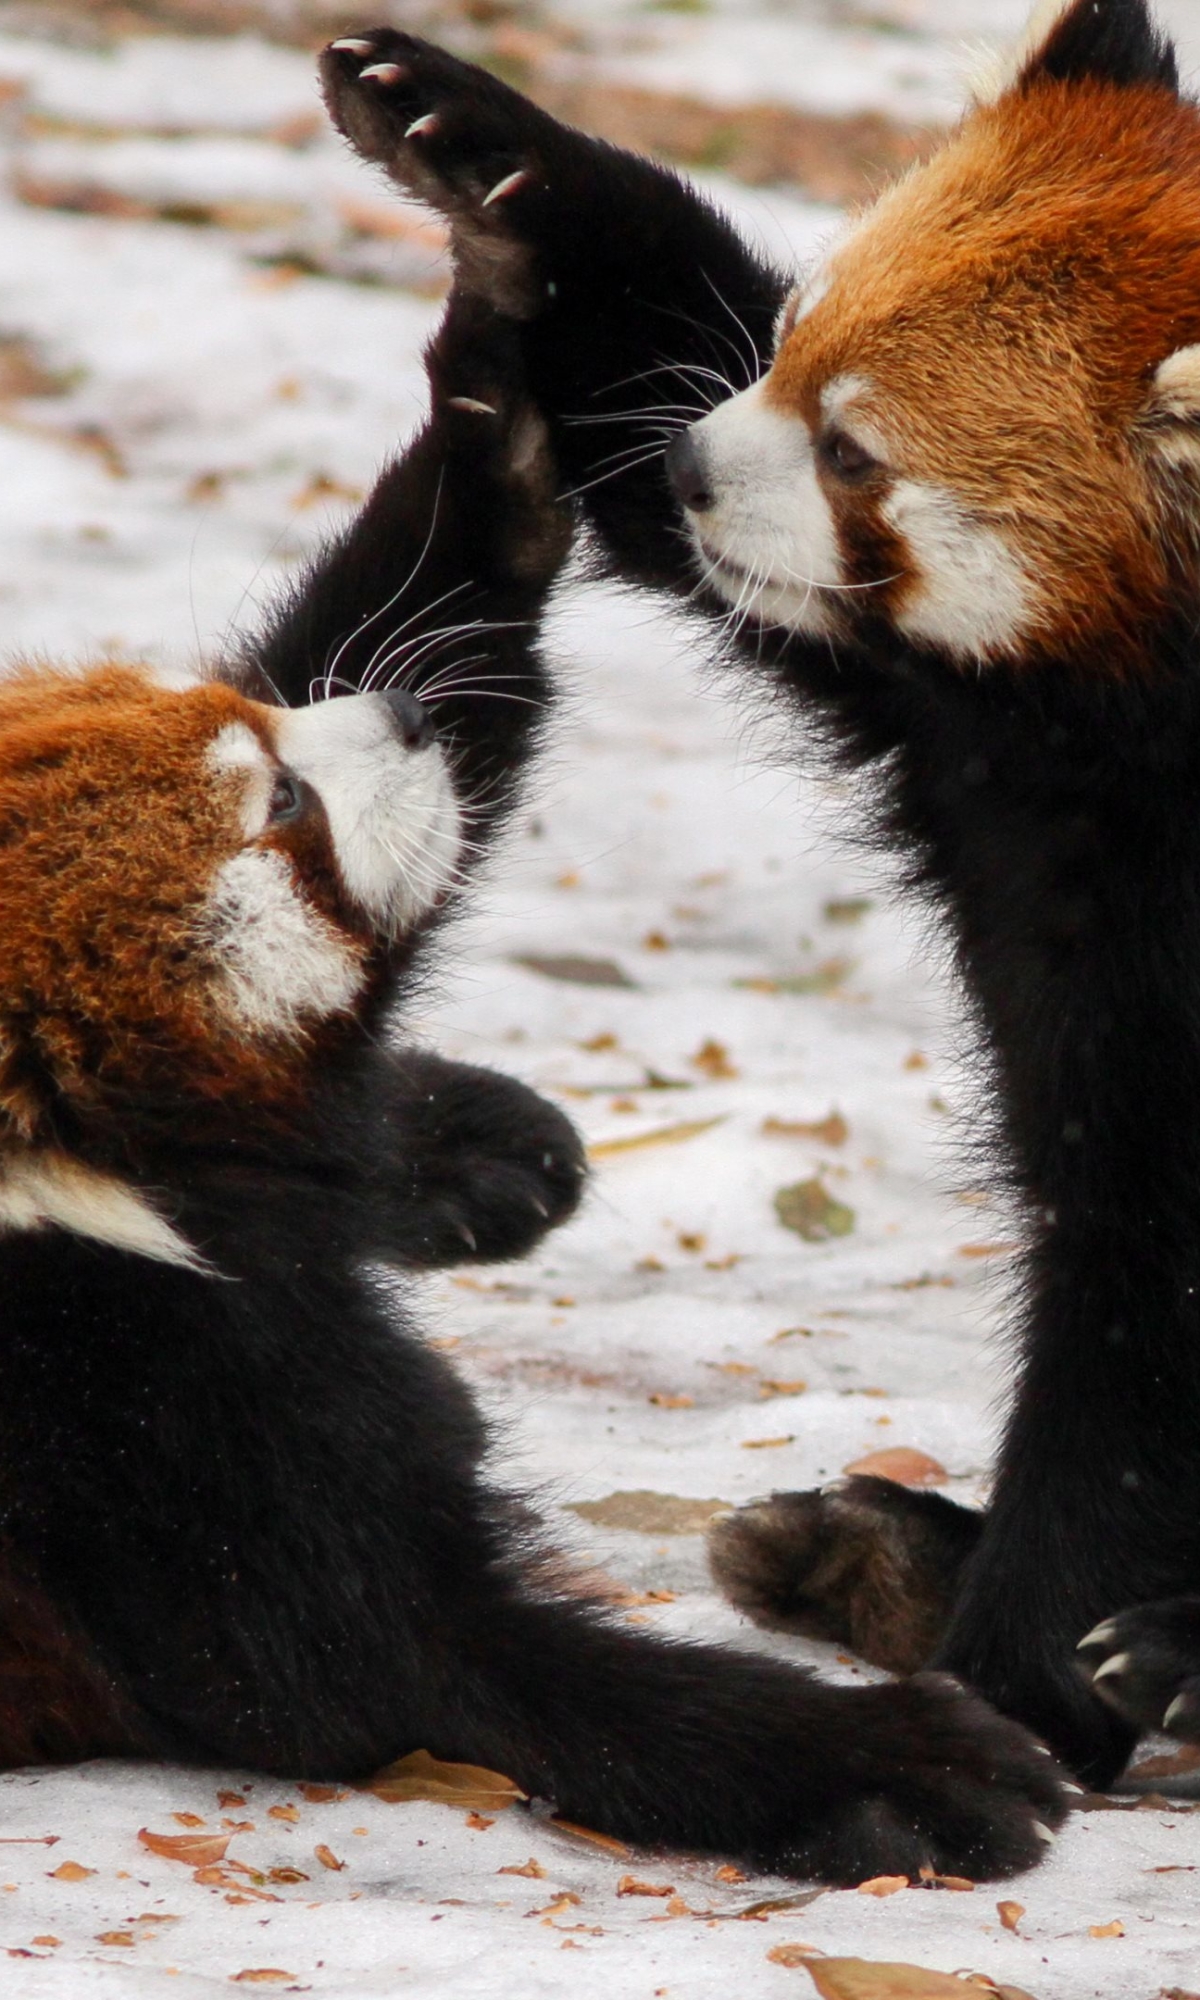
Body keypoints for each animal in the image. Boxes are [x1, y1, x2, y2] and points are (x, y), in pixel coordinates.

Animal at [0, 293, 1064, 1880]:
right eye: (284, 804)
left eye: (247, 718)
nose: (400, 718)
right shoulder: (121, 1419)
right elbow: (427, 1669)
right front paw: (892, 1761)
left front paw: (488, 440)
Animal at [322, 0, 1200, 1786]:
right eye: (788, 342)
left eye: (857, 452)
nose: (692, 466)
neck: (1119, 732)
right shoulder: (967, 736)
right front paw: (482, 149)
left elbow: (1140, 1291)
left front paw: (1019, 1675)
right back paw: (874, 1548)